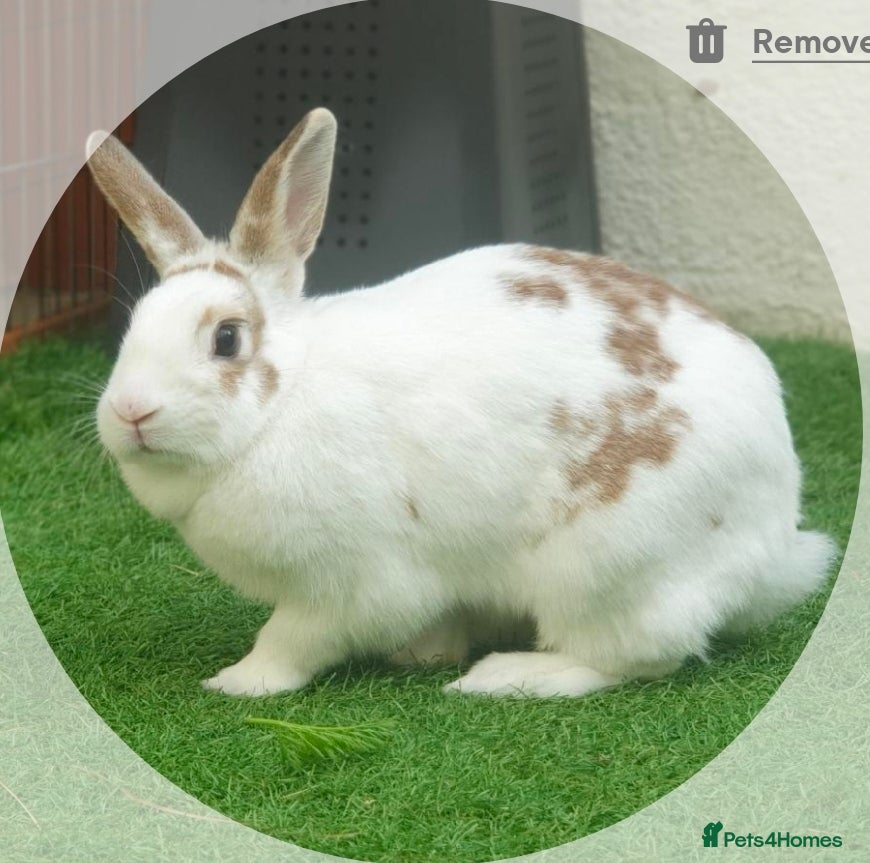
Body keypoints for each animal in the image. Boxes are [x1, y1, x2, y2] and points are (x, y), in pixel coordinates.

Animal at [86, 108, 836, 698]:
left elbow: (294, 638)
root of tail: (769, 544)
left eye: (226, 338)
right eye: (135, 327)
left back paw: (509, 676)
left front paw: (240, 681)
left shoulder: (349, 583)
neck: (280, 405)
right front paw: (425, 649)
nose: (130, 412)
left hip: (607, 568)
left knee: (632, 657)